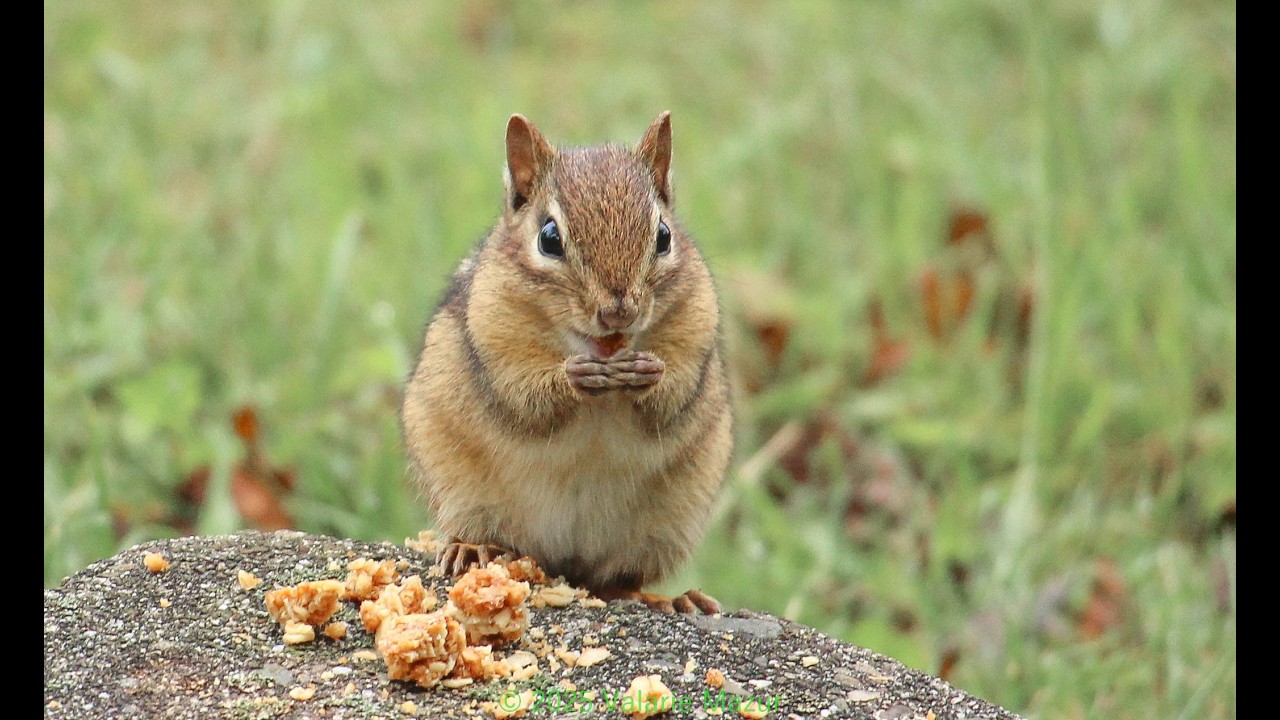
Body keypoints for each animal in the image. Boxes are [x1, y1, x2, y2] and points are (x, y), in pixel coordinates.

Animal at [400, 112, 732, 614]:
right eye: (549, 238)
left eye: (664, 237)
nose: (618, 311)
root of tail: (563, 567)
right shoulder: (494, 342)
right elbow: (526, 400)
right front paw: (573, 378)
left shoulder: (697, 332)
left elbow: (673, 399)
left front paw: (650, 375)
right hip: (462, 492)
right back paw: (472, 548)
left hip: (664, 526)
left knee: (618, 581)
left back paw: (668, 599)